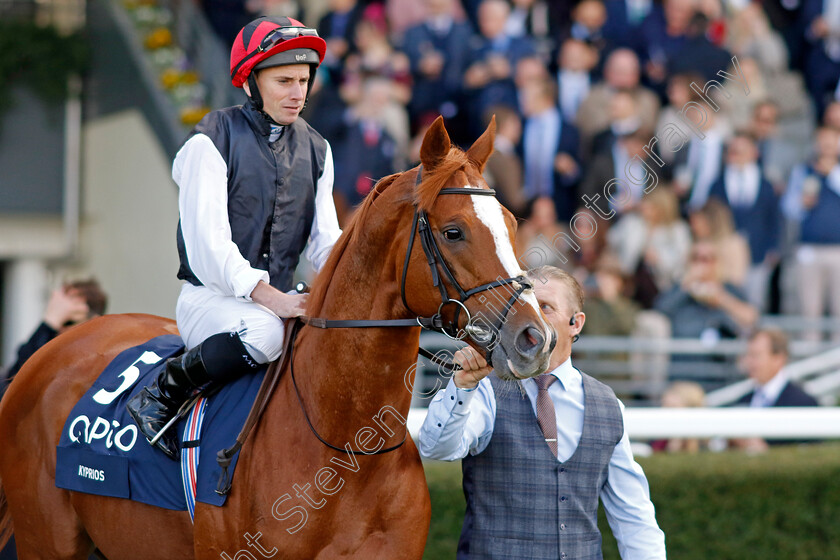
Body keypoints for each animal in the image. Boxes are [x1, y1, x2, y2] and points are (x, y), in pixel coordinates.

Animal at [0, 116, 552, 556]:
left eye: (510, 223)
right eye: (454, 231)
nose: (533, 336)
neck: (346, 452)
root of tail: (46, 355)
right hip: (46, 540)